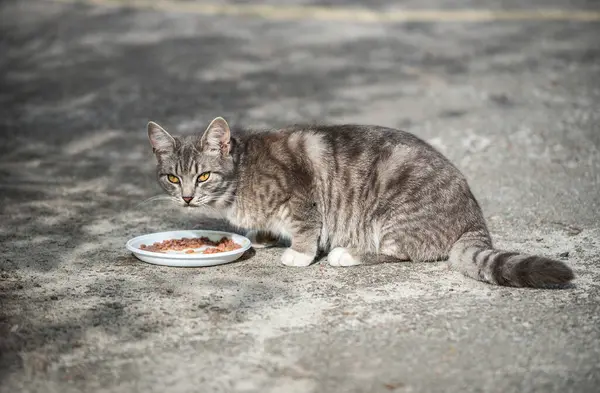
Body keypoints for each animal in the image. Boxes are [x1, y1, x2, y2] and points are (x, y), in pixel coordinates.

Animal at [145, 116, 572, 288]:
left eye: (203, 175)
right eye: (173, 177)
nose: (187, 198)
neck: (243, 170)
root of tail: (473, 217)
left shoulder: (302, 194)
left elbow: (305, 227)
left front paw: (299, 253)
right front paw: (263, 236)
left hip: (391, 215)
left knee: (400, 253)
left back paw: (345, 254)